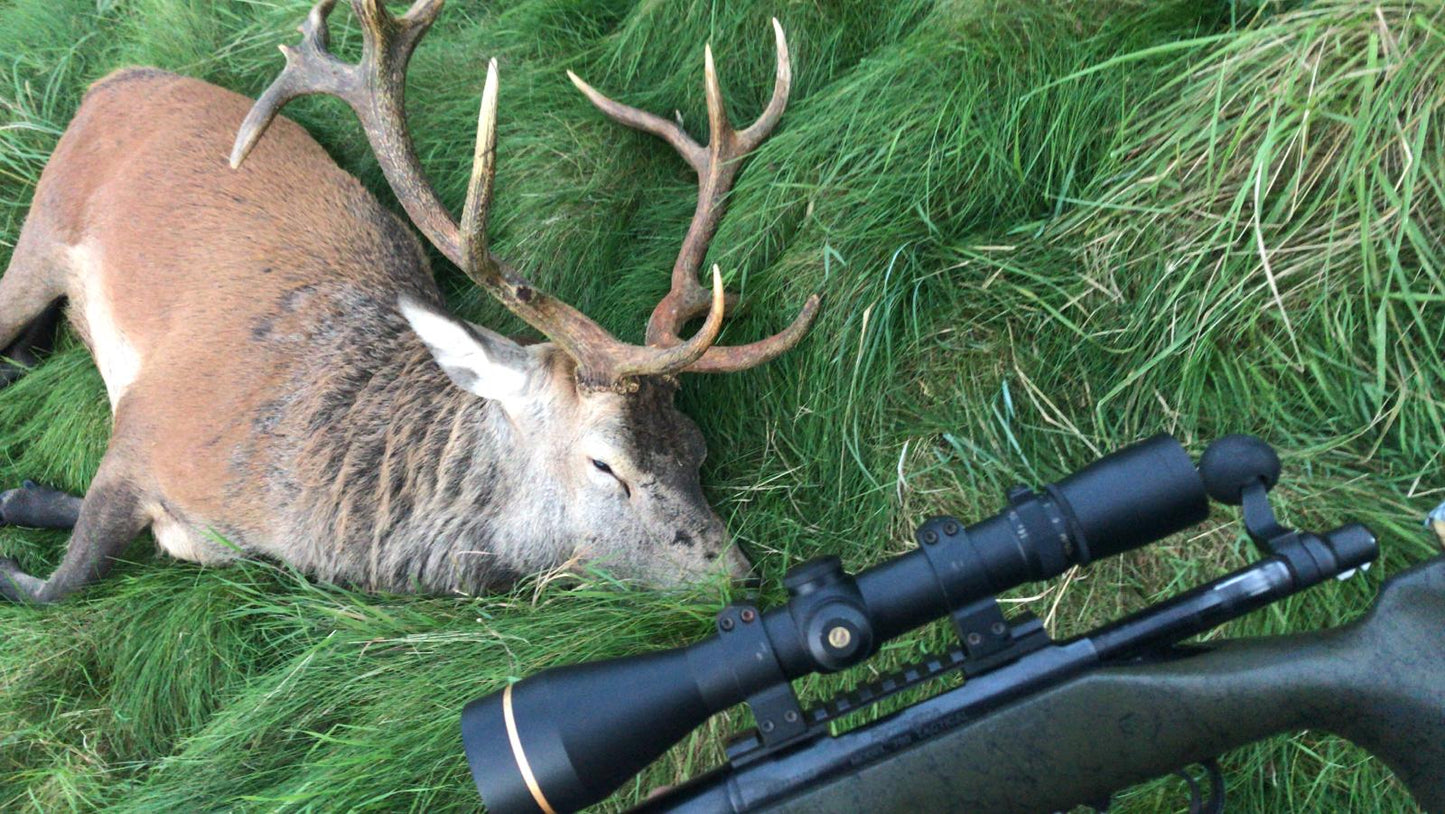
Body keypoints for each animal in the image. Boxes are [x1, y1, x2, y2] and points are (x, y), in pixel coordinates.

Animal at [0, 0, 819, 604]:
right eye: (604, 464)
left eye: (696, 450)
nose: (742, 576)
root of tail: (110, 81)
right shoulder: (143, 432)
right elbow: (59, 581)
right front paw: (19, 525)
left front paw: (24, 497)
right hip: (42, 229)